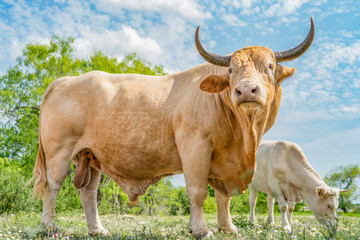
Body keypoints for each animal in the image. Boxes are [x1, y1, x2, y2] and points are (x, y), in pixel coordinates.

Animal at [32, 17, 314, 237]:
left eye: (270, 66)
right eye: (231, 70)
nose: (245, 90)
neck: (243, 137)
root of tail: (66, 80)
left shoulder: (224, 163)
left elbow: (223, 198)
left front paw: (228, 228)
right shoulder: (195, 148)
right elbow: (198, 192)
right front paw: (200, 229)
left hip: (90, 157)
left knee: (88, 193)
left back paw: (98, 230)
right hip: (59, 152)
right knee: (52, 186)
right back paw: (48, 227)